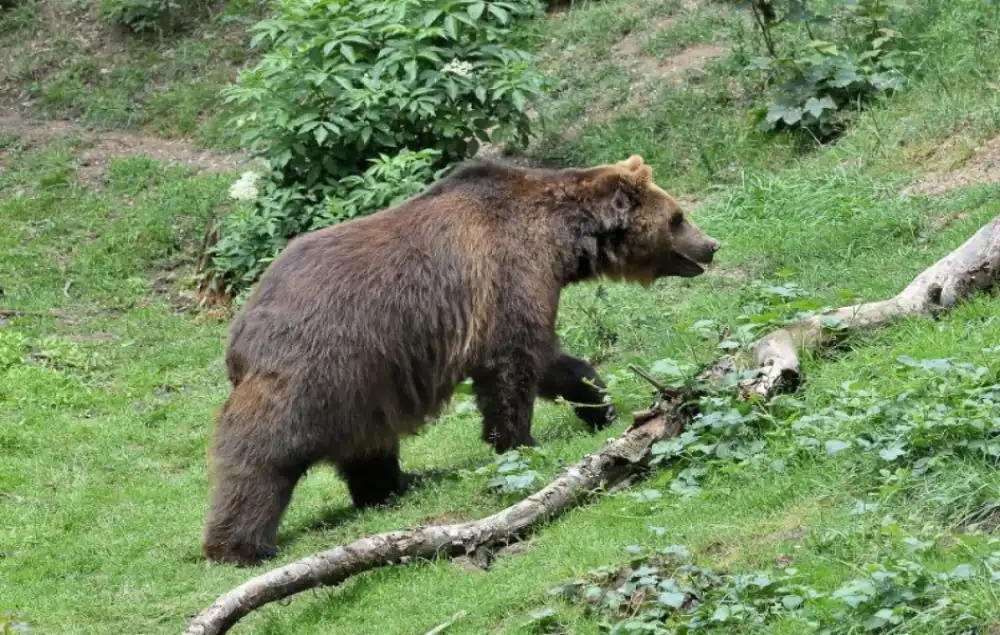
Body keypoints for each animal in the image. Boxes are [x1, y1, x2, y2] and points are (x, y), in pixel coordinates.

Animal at [203, 154, 720, 568]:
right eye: (678, 217)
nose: (711, 245)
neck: (560, 241)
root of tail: (240, 331)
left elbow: (552, 361)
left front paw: (598, 404)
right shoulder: (507, 273)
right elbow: (514, 365)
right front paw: (518, 441)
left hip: (366, 381)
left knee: (368, 442)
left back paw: (394, 484)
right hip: (319, 363)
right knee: (264, 447)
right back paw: (240, 545)